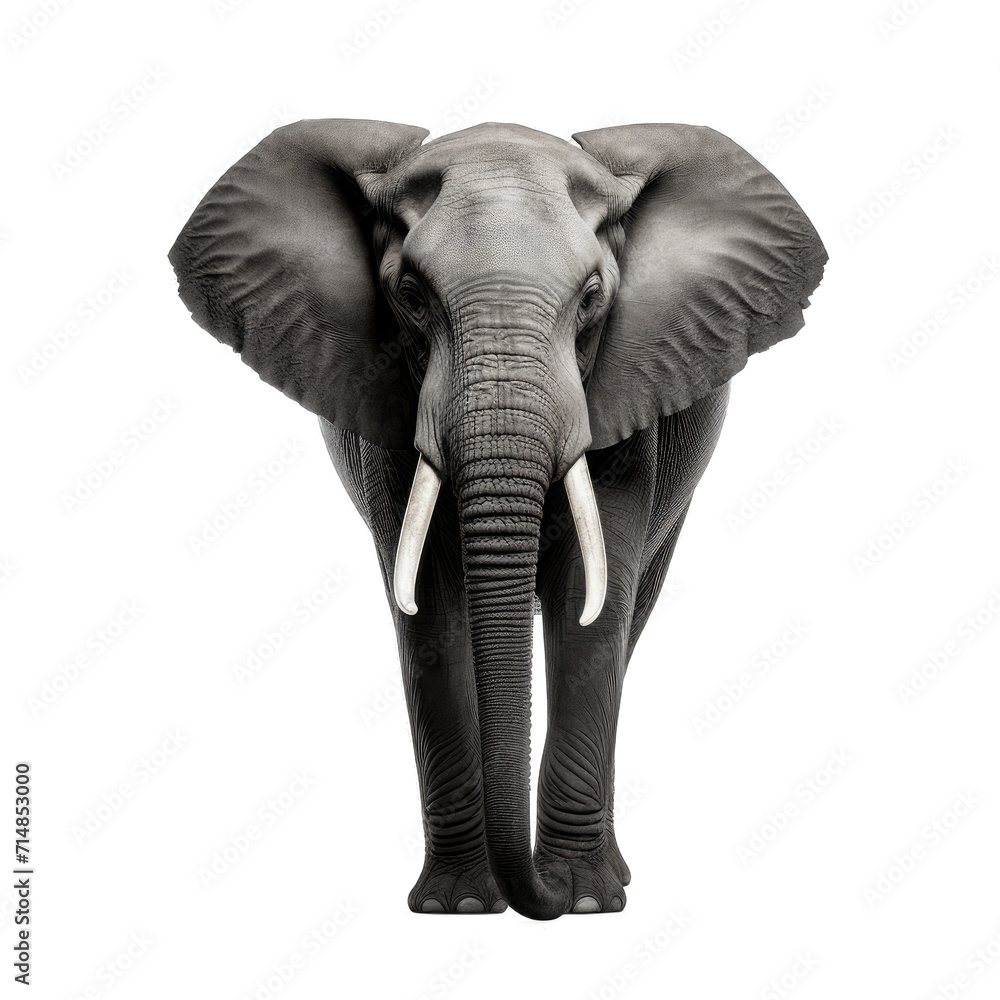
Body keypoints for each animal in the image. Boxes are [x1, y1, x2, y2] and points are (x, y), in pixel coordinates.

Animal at [169, 118, 826, 920]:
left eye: (592, 296)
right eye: (410, 295)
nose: (538, 899)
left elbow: (589, 609)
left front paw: (584, 901)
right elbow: (429, 608)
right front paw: (459, 905)